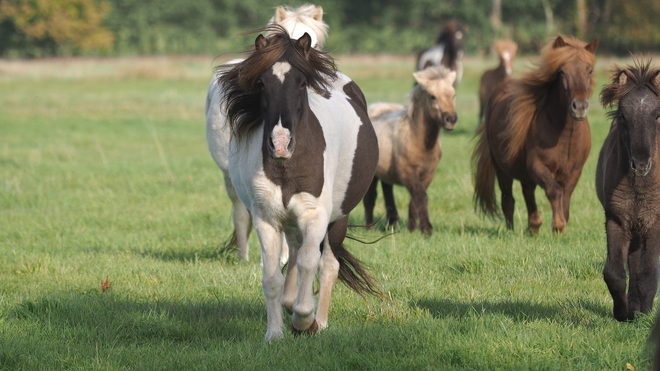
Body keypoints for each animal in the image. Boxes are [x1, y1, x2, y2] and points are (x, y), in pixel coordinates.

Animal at [218, 26, 378, 342]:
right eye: (262, 83)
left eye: (302, 83)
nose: (280, 143)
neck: (287, 166)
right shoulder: (267, 219)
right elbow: (272, 276)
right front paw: (275, 333)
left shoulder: (315, 216)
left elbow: (309, 262)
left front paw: (306, 320)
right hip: (290, 221)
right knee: (292, 252)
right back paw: (291, 303)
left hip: (338, 219)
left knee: (327, 265)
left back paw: (321, 321)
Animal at [360, 66, 458, 235]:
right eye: (432, 96)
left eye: (453, 95)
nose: (451, 119)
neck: (418, 141)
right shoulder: (407, 172)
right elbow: (420, 196)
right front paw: (427, 229)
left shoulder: (427, 174)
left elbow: (415, 199)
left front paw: (412, 228)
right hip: (372, 173)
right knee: (370, 198)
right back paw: (369, 228)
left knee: (387, 190)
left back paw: (392, 222)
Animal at [470, 35, 600, 232]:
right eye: (562, 71)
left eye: (589, 71)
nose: (579, 107)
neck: (564, 135)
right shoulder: (537, 166)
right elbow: (554, 190)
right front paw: (558, 225)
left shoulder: (574, 171)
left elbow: (565, 198)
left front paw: (561, 225)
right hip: (502, 170)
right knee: (508, 199)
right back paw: (511, 230)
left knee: (527, 192)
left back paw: (534, 226)